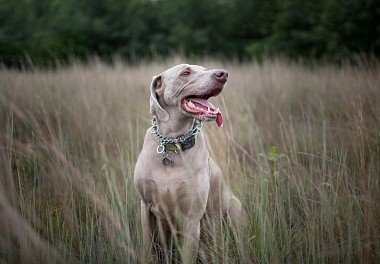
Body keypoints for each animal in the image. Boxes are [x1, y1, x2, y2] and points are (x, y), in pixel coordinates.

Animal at [135, 63, 245, 262]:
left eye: (205, 69)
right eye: (185, 73)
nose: (223, 74)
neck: (172, 145)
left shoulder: (192, 219)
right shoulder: (145, 207)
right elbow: (147, 249)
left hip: (234, 209)